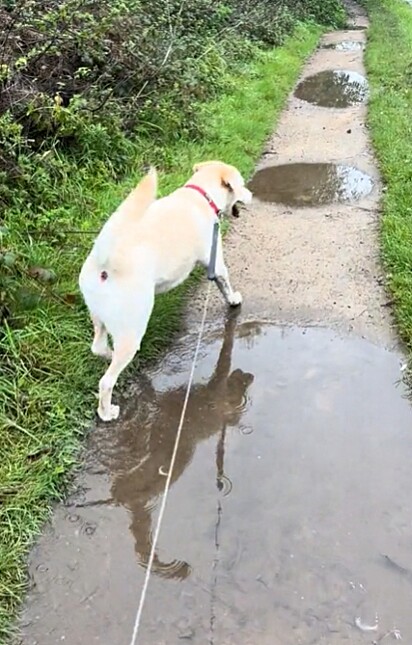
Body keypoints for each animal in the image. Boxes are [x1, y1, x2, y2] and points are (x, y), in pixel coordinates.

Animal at [77, 160, 251, 420]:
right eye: (241, 185)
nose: (251, 194)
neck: (201, 195)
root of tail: (104, 260)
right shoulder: (215, 261)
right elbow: (225, 283)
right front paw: (233, 300)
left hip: (99, 316)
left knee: (98, 347)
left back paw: (109, 353)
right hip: (130, 327)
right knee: (106, 381)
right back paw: (107, 412)